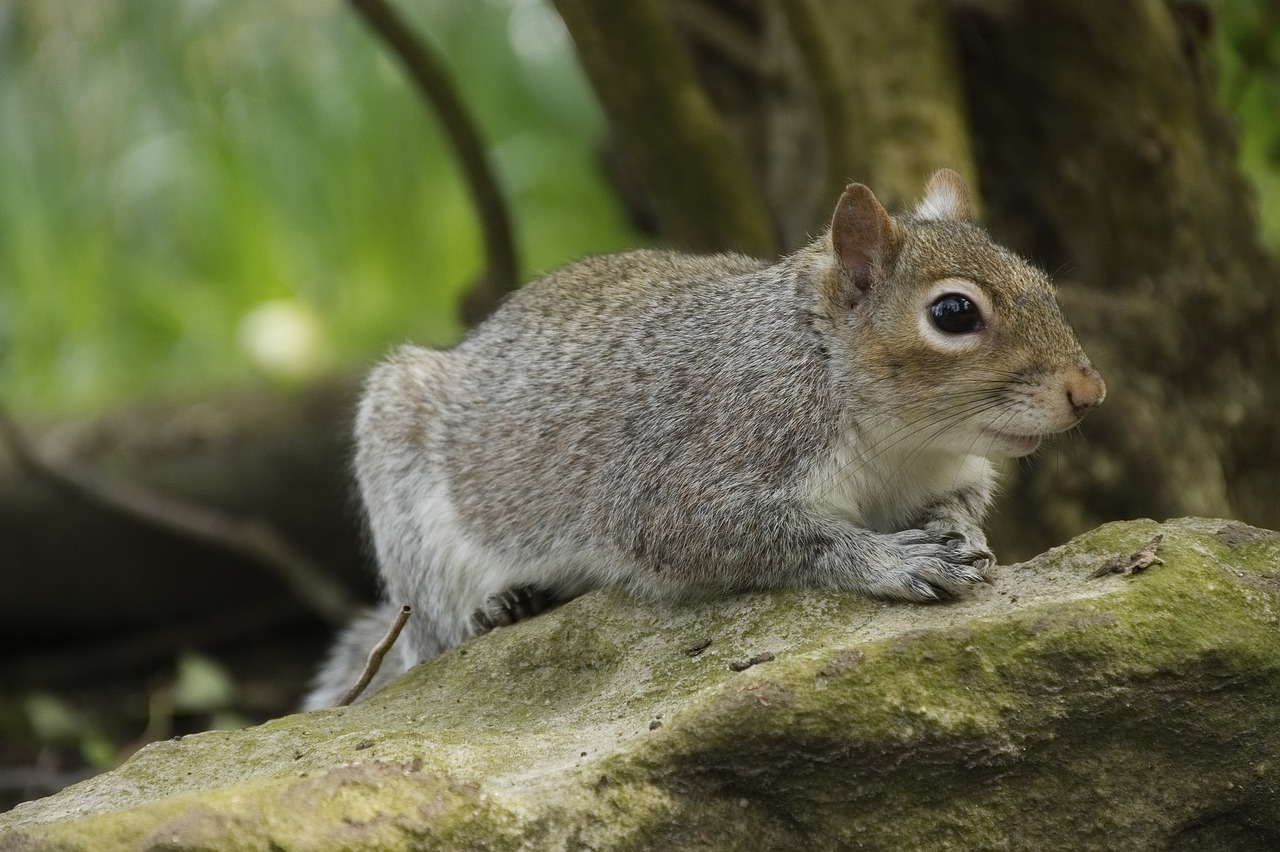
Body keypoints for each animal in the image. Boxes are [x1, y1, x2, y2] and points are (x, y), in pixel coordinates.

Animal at [304, 168, 1105, 706]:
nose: (1088, 393)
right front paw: (891, 559)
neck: (901, 443)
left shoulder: (951, 470)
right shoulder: (689, 467)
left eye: (1041, 280)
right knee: (435, 626)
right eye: (952, 313)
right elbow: (756, 534)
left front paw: (961, 533)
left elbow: (958, 505)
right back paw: (495, 609)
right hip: (409, 501)